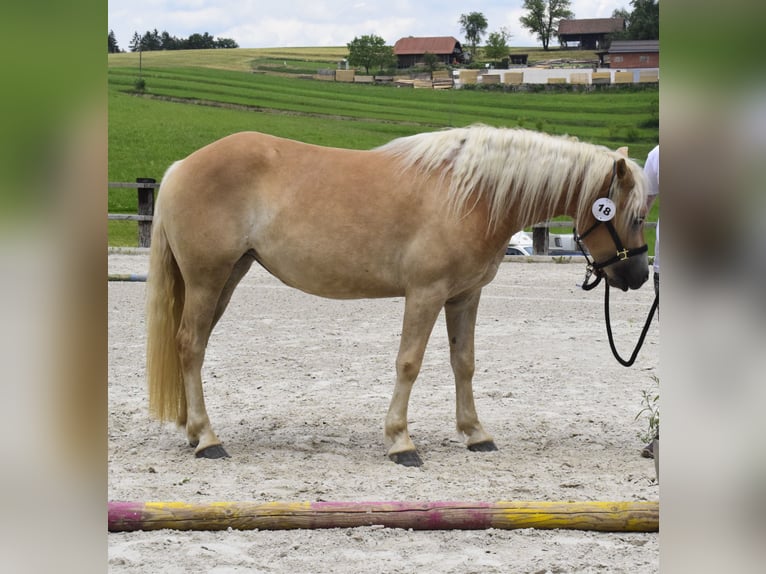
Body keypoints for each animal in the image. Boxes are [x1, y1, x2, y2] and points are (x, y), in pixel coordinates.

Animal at [146, 126, 656, 468]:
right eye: (633, 216)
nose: (637, 276)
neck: (471, 195)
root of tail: (179, 167)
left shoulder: (464, 296)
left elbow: (464, 363)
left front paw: (476, 434)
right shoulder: (425, 294)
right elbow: (409, 363)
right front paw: (400, 442)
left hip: (227, 277)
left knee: (194, 345)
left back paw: (195, 432)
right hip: (208, 278)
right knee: (191, 346)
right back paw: (208, 439)